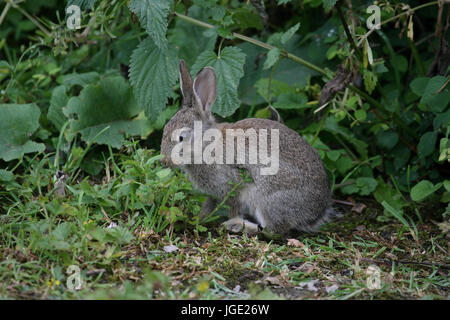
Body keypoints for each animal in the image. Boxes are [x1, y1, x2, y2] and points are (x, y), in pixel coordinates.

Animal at [161, 59, 334, 235]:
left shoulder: (233, 186)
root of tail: (315, 214)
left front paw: (224, 221)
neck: (208, 144)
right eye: (165, 129)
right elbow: (208, 206)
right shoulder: (214, 193)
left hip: (267, 198)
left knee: (273, 231)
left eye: (182, 137)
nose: (164, 161)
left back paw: (236, 225)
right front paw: (198, 219)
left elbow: (233, 207)